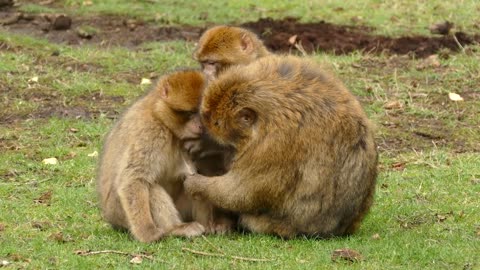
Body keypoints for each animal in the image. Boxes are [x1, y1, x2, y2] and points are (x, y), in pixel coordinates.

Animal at [97, 69, 212, 243]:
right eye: (190, 112)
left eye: (202, 113)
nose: (200, 126)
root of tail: (110, 218)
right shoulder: (149, 132)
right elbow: (133, 179)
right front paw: (147, 232)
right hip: (120, 214)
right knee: (150, 187)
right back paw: (175, 228)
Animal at [185, 54, 378, 238]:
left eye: (217, 124)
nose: (230, 157)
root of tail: (342, 229)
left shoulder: (273, 145)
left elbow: (242, 192)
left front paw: (197, 184)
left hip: (284, 226)